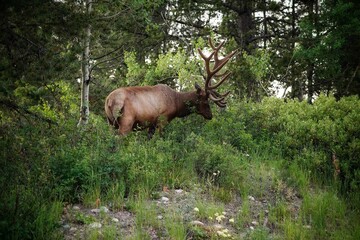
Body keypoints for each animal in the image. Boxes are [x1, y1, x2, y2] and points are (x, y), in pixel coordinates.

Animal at [105, 38, 236, 138]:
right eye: (204, 100)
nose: (210, 115)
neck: (176, 103)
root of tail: (109, 101)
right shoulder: (163, 120)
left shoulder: (152, 125)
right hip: (126, 121)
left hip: (110, 122)